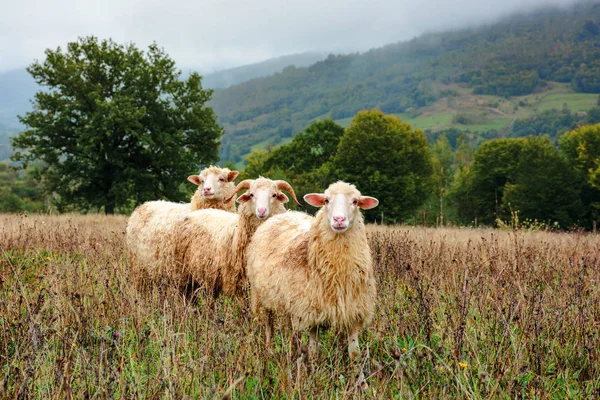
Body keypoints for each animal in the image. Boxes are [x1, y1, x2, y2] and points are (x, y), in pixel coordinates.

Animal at [171, 177, 300, 298]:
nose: (261, 211)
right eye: (251, 194)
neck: (237, 234)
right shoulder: (236, 285)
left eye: (274, 195)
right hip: (181, 276)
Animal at [245, 181, 378, 360]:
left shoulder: (354, 311)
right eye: (326, 200)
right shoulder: (309, 312)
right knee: (269, 326)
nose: (339, 219)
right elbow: (314, 350)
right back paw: (269, 349)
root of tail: (283, 215)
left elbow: (354, 352)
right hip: (262, 297)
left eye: (355, 201)